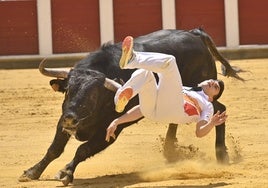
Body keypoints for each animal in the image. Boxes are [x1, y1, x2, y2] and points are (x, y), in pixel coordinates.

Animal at [18, 28, 241, 186]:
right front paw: (31, 172)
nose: (72, 118)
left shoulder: (112, 129)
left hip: (202, 87)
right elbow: (54, 148)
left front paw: (65, 172)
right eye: (68, 91)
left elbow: (83, 149)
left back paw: (221, 155)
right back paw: (170, 151)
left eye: (94, 95)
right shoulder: (63, 119)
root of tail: (194, 34)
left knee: (220, 108)